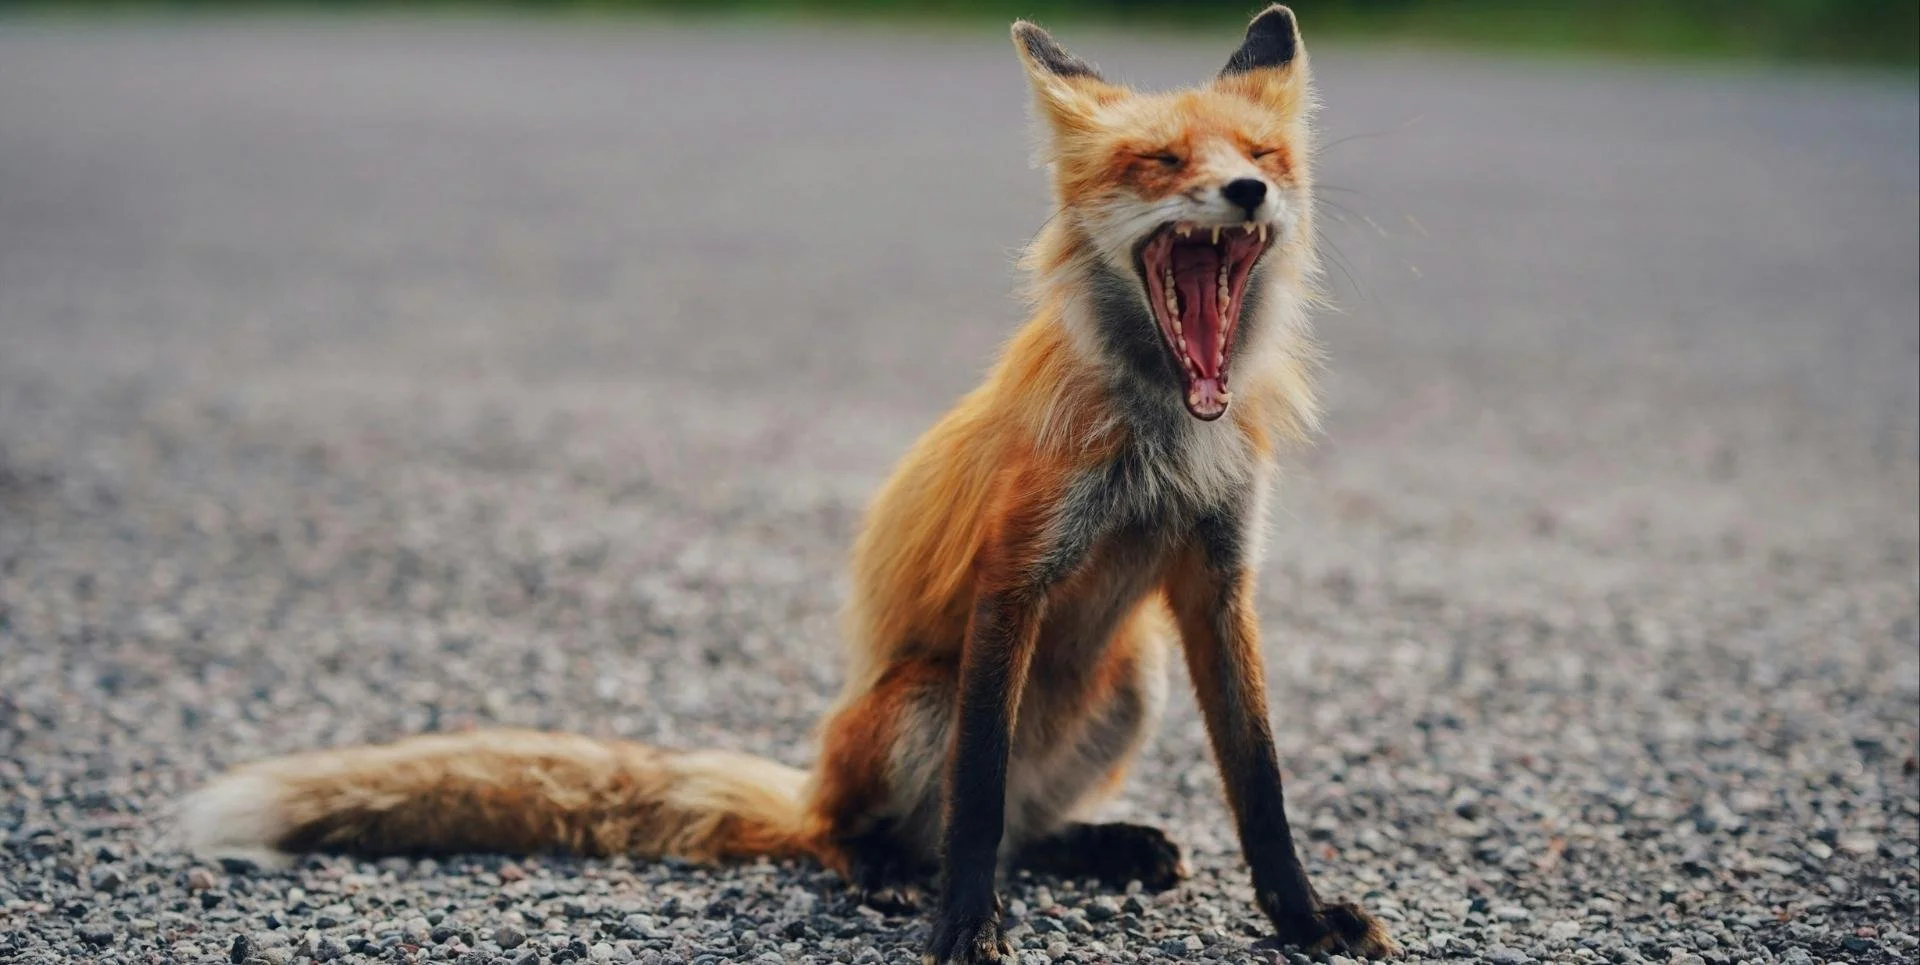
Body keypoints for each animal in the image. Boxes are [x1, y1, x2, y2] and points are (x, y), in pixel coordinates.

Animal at [179, 7, 1398, 962]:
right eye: (1160, 164)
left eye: (1263, 152)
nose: (1245, 190)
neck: (1162, 434)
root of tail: (812, 782)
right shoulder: (1013, 577)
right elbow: (976, 797)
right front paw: (965, 926)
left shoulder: (1218, 580)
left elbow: (1260, 783)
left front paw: (1303, 918)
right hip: (921, 703)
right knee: (909, 825)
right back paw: (884, 867)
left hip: (1130, 676)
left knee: (1024, 825)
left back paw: (1098, 843)